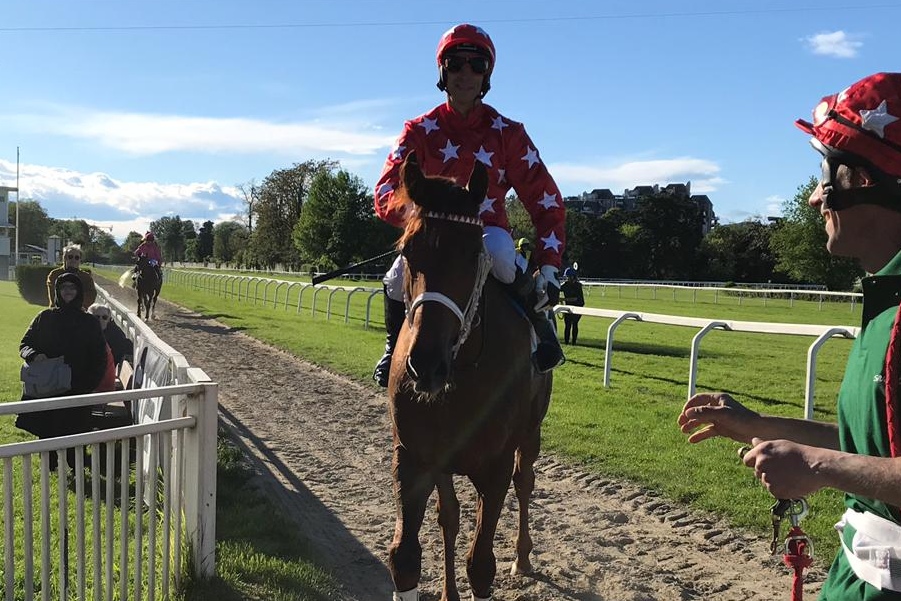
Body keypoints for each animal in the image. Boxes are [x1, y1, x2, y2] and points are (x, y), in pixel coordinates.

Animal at [384, 155, 552, 600]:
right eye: (407, 250)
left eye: (473, 252)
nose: (426, 364)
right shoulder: (413, 457)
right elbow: (406, 556)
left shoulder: (493, 467)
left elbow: (480, 564)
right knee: (450, 516)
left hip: (531, 431)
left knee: (524, 481)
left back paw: (522, 556)